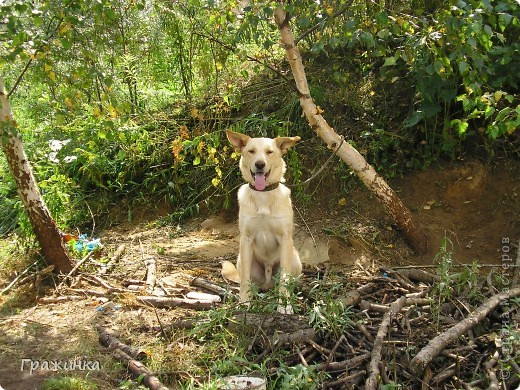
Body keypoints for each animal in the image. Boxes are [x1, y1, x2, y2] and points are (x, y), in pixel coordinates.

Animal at [222, 129, 302, 312]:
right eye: (251, 151)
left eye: (269, 152)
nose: (259, 164)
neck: (263, 194)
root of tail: (267, 282)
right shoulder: (246, 239)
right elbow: (244, 281)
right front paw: (244, 303)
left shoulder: (285, 238)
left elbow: (284, 280)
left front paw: (284, 305)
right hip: (241, 259)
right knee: (251, 283)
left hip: (295, 258)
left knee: (286, 281)